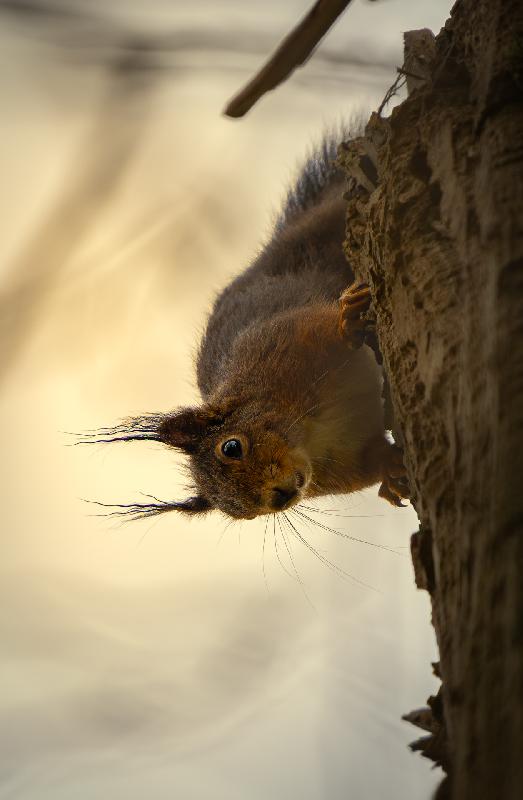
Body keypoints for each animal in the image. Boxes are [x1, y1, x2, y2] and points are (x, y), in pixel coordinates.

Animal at [89, 134, 409, 521]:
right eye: (241, 513)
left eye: (231, 447)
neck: (307, 432)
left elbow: (327, 329)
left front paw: (347, 320)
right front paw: (392, 470)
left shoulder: (285, 337)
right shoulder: (350, 460)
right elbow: (374, 458)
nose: (280, 496)